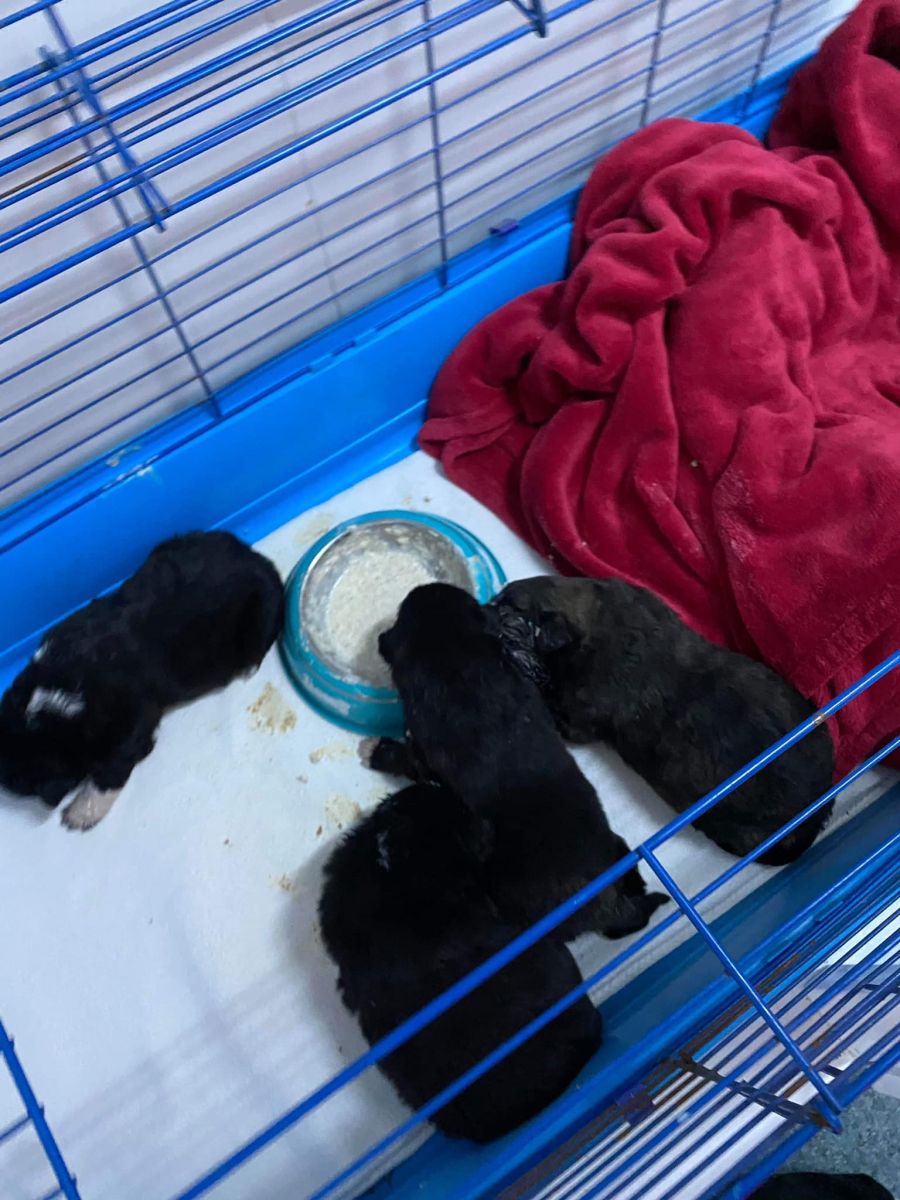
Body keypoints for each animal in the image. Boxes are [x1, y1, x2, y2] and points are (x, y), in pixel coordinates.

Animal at [0, 531, 283, 830]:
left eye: (18, 782)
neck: (63, 687)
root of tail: (260, 559)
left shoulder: (132, 722)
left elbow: (111, 769)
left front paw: (80, 814)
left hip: (260, 617)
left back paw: (248, 668)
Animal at [368, 583, 668, 942]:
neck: (455, 658)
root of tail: (603, 903)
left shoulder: (426, 753)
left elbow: (410, 760)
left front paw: (381, 752)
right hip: (616, 847)